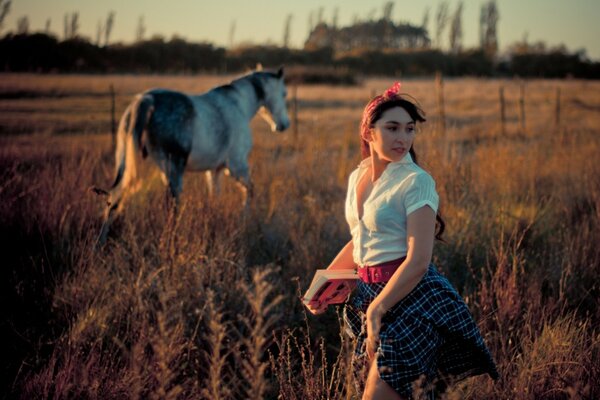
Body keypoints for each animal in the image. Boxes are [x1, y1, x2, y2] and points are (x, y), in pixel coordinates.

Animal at [92, 66, 290, 244]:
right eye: (284, 94)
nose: (284, 124)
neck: (238, 105)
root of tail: (146, 99)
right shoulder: (237, 166)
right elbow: (250, 190)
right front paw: (245, 218)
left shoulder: (215, 170)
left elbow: (214, 196)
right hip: (174, 169)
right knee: (172, 204)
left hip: (131, 168)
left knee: (114, 200)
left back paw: (100, 243)